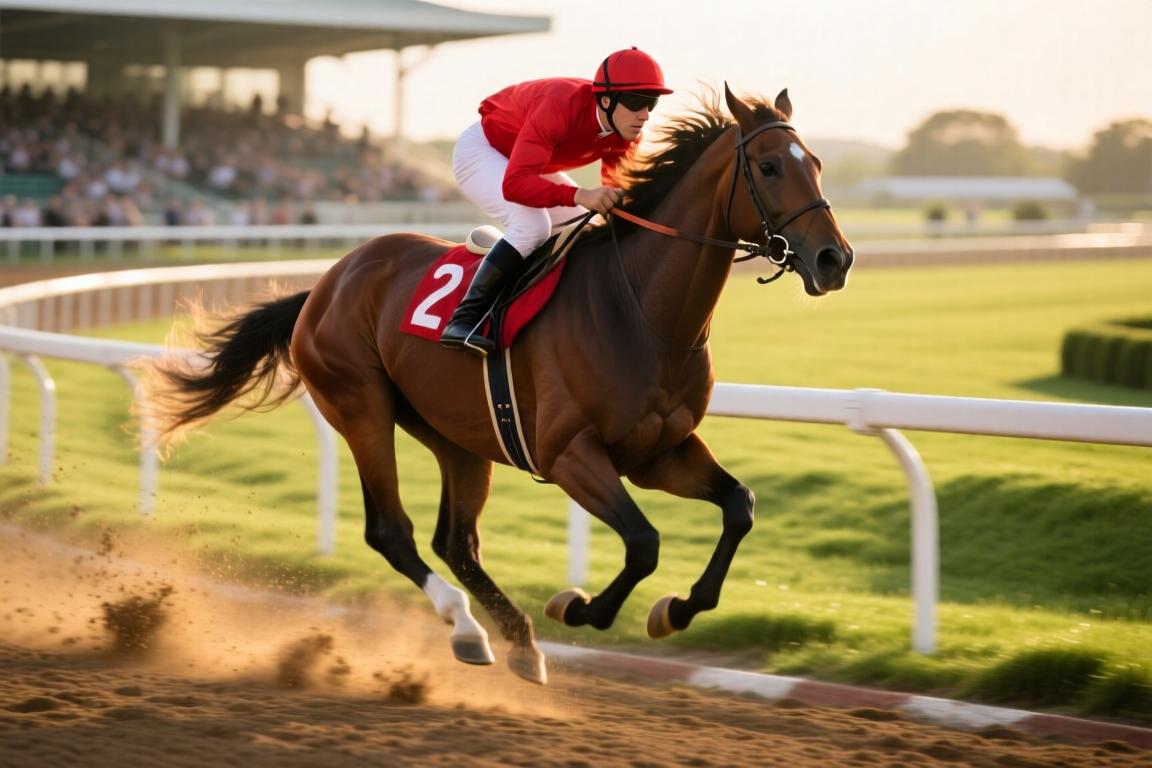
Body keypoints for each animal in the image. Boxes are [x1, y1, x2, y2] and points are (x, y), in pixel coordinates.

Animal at [145, 86, 853, 685]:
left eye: (817, 163)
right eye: (769, 167)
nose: (834, 259)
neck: (642, 311)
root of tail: (325, 283)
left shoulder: (660, 452)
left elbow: (739, 506)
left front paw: (673, 610)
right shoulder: (569, 454)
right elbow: (644, 543)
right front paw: (578, 607)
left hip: (457, 435)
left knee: (454, 541)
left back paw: (515, 641)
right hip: (360, 406)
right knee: (392, 532)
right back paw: (466, 627)